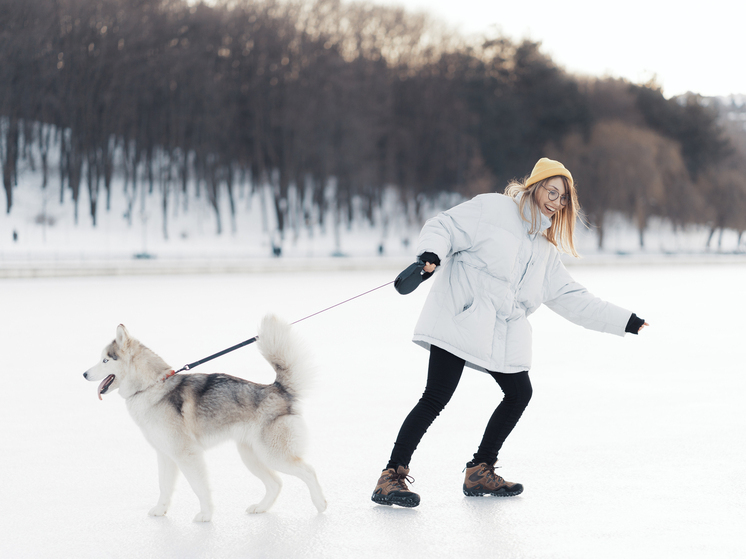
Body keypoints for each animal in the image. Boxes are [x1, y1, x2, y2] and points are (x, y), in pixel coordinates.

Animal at [82, 316, 326, 520]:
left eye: (105, 361)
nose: (84, 374)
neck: (152, 387)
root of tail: (277, 389)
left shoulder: (187, 454)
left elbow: (198, 486)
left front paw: (206, 515)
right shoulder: (165, 455)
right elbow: (164, 486)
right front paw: (161, 510)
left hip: (272, 454)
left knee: (309, 471)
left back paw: (320, 504)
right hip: (251, 456)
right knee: (276, 483)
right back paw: (261, 507)